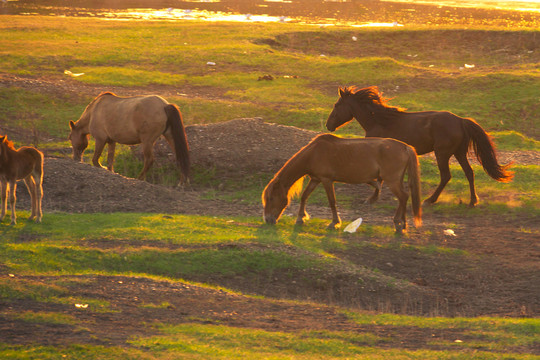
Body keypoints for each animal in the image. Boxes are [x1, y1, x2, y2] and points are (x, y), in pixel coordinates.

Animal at [262, 135, 422, 233]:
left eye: (271, 198)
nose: (268, 220)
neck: (314, 153)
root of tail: (405, 147)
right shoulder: (315, 179)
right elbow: (304, 196)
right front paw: (300, 218)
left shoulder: (326, 180)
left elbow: (332, 201)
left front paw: (334, 223)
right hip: (396, 181)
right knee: (404, 197)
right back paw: (403, 223)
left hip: (392, 181)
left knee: (403, 197)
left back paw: (398, 223)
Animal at [326, 85, 512, 207]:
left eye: (337, 105)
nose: (328, 125)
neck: (379, 121)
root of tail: (460, 121)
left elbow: (379, 178)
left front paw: (372, 199)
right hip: (459, 153)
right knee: (469, 172)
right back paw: (473, 201)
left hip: (442, 153)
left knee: (446, 176)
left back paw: (430, 200)